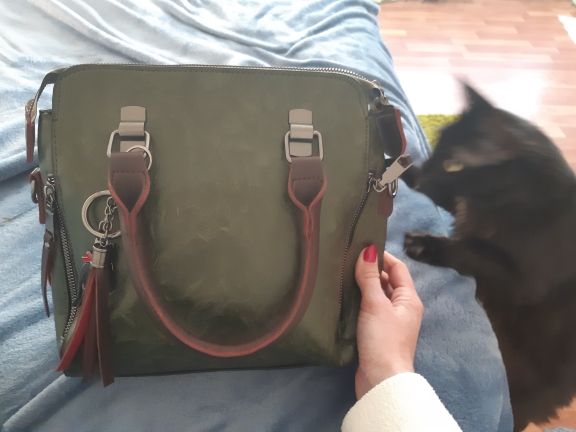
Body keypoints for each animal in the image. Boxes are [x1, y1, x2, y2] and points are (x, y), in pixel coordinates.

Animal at [403, 84, 576, 431]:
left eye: (454, 164)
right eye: (437, 142)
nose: (428, 168)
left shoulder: (521, 284)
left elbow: (474, 250)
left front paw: (423, 244)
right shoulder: (459, 203)